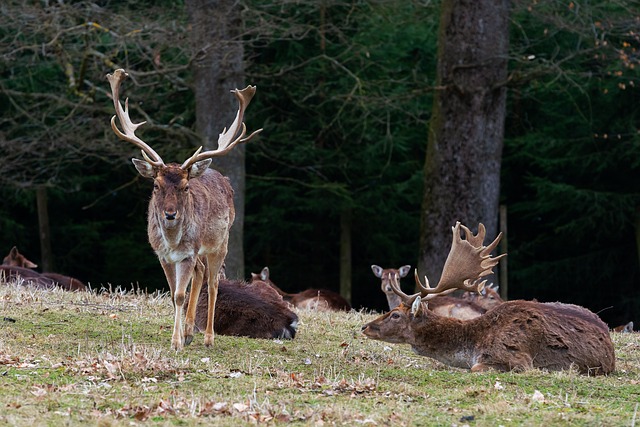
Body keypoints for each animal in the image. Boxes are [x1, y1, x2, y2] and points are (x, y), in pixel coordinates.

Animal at [106, 69, 262, 352]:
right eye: (155, 185)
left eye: (186, 187)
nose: (170, 214)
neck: (172, 242)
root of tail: (222, 178)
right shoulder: (163, 255)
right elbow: (173, 294)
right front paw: (180, 336)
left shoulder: (188, 252)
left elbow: (180, 294)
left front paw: (176, 342)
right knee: (201, 273)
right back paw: (191, 331)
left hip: (221, 241)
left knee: (213, 282)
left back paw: (208, 337)